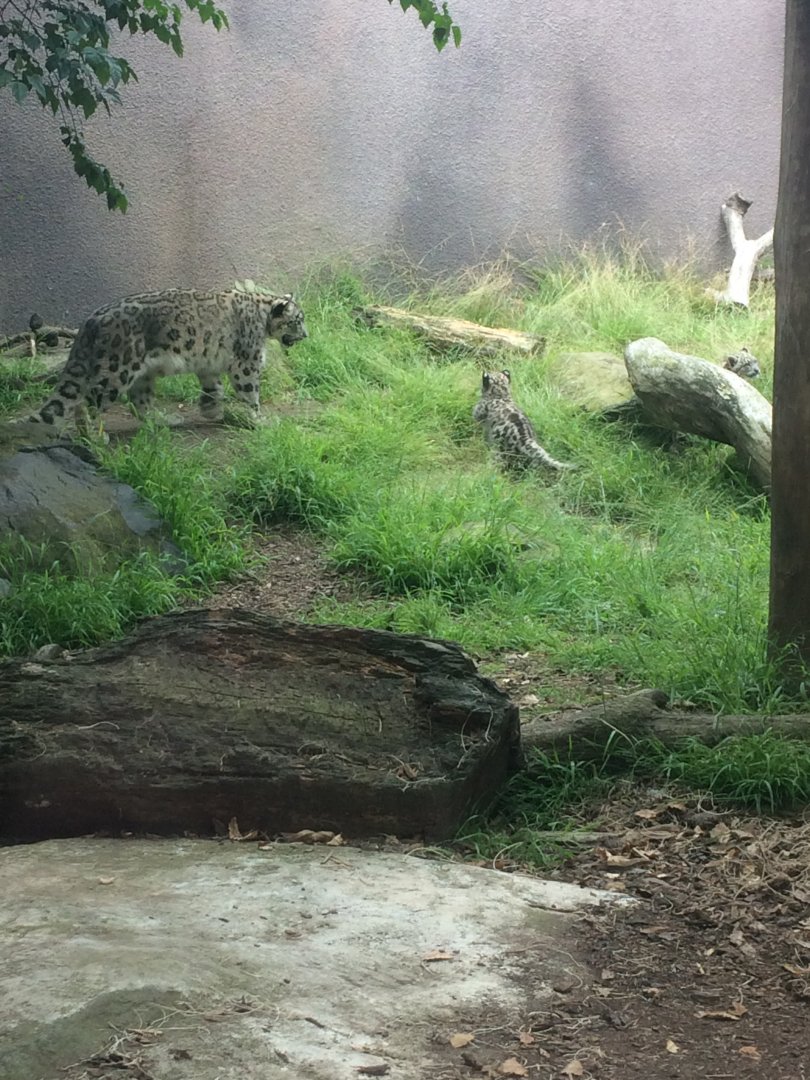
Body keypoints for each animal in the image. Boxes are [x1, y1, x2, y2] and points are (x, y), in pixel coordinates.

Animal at [27, 285, 308, 429]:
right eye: (297, 320)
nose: (306, 335)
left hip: (142, 374)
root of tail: (90, 320)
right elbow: (251, 393)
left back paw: (163, 420)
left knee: (139, 402)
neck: (262, 318)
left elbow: (214, 388)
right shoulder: (246, 363)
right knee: (87, 403)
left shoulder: (209, 363)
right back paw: (95, 437)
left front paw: (211, 411)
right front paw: (260, 420)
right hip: (117, 370)